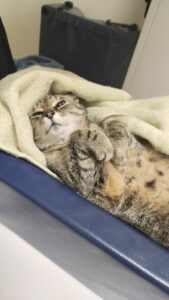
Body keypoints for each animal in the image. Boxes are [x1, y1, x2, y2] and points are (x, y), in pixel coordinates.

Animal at [29, 92, 169, 247]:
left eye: (60, 103)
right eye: (37, 113)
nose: (49, 113)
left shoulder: (136, 145)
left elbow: (112, 121)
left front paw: (116, 149)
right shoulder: (86, 183)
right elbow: (77, 134)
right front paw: (103, 145)